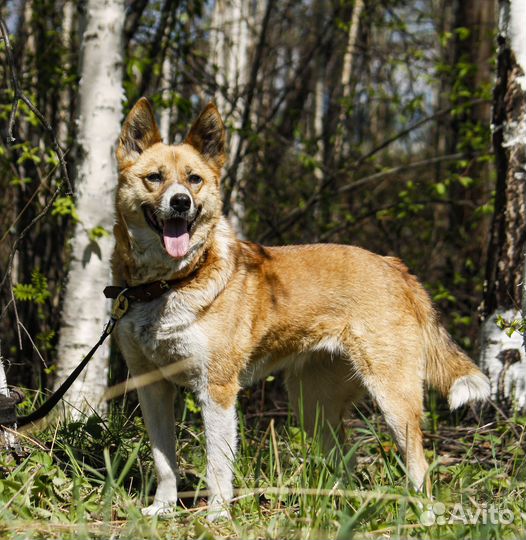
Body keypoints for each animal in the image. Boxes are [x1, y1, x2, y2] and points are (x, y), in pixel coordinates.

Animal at [112, 97, 496, 520]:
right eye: (154, 177)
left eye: (194, 179)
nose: (181, 202)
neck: (167, 284)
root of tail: (396, 267)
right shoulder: (151, 386)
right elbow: (164, 461)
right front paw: (161, 510)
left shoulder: (218, 389)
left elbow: (217, 465)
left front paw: (217, 515)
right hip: (313, 407)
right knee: (346, 461)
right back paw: (341, 510)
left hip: (393, 400)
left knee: (420, 466)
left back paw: (424, 518)